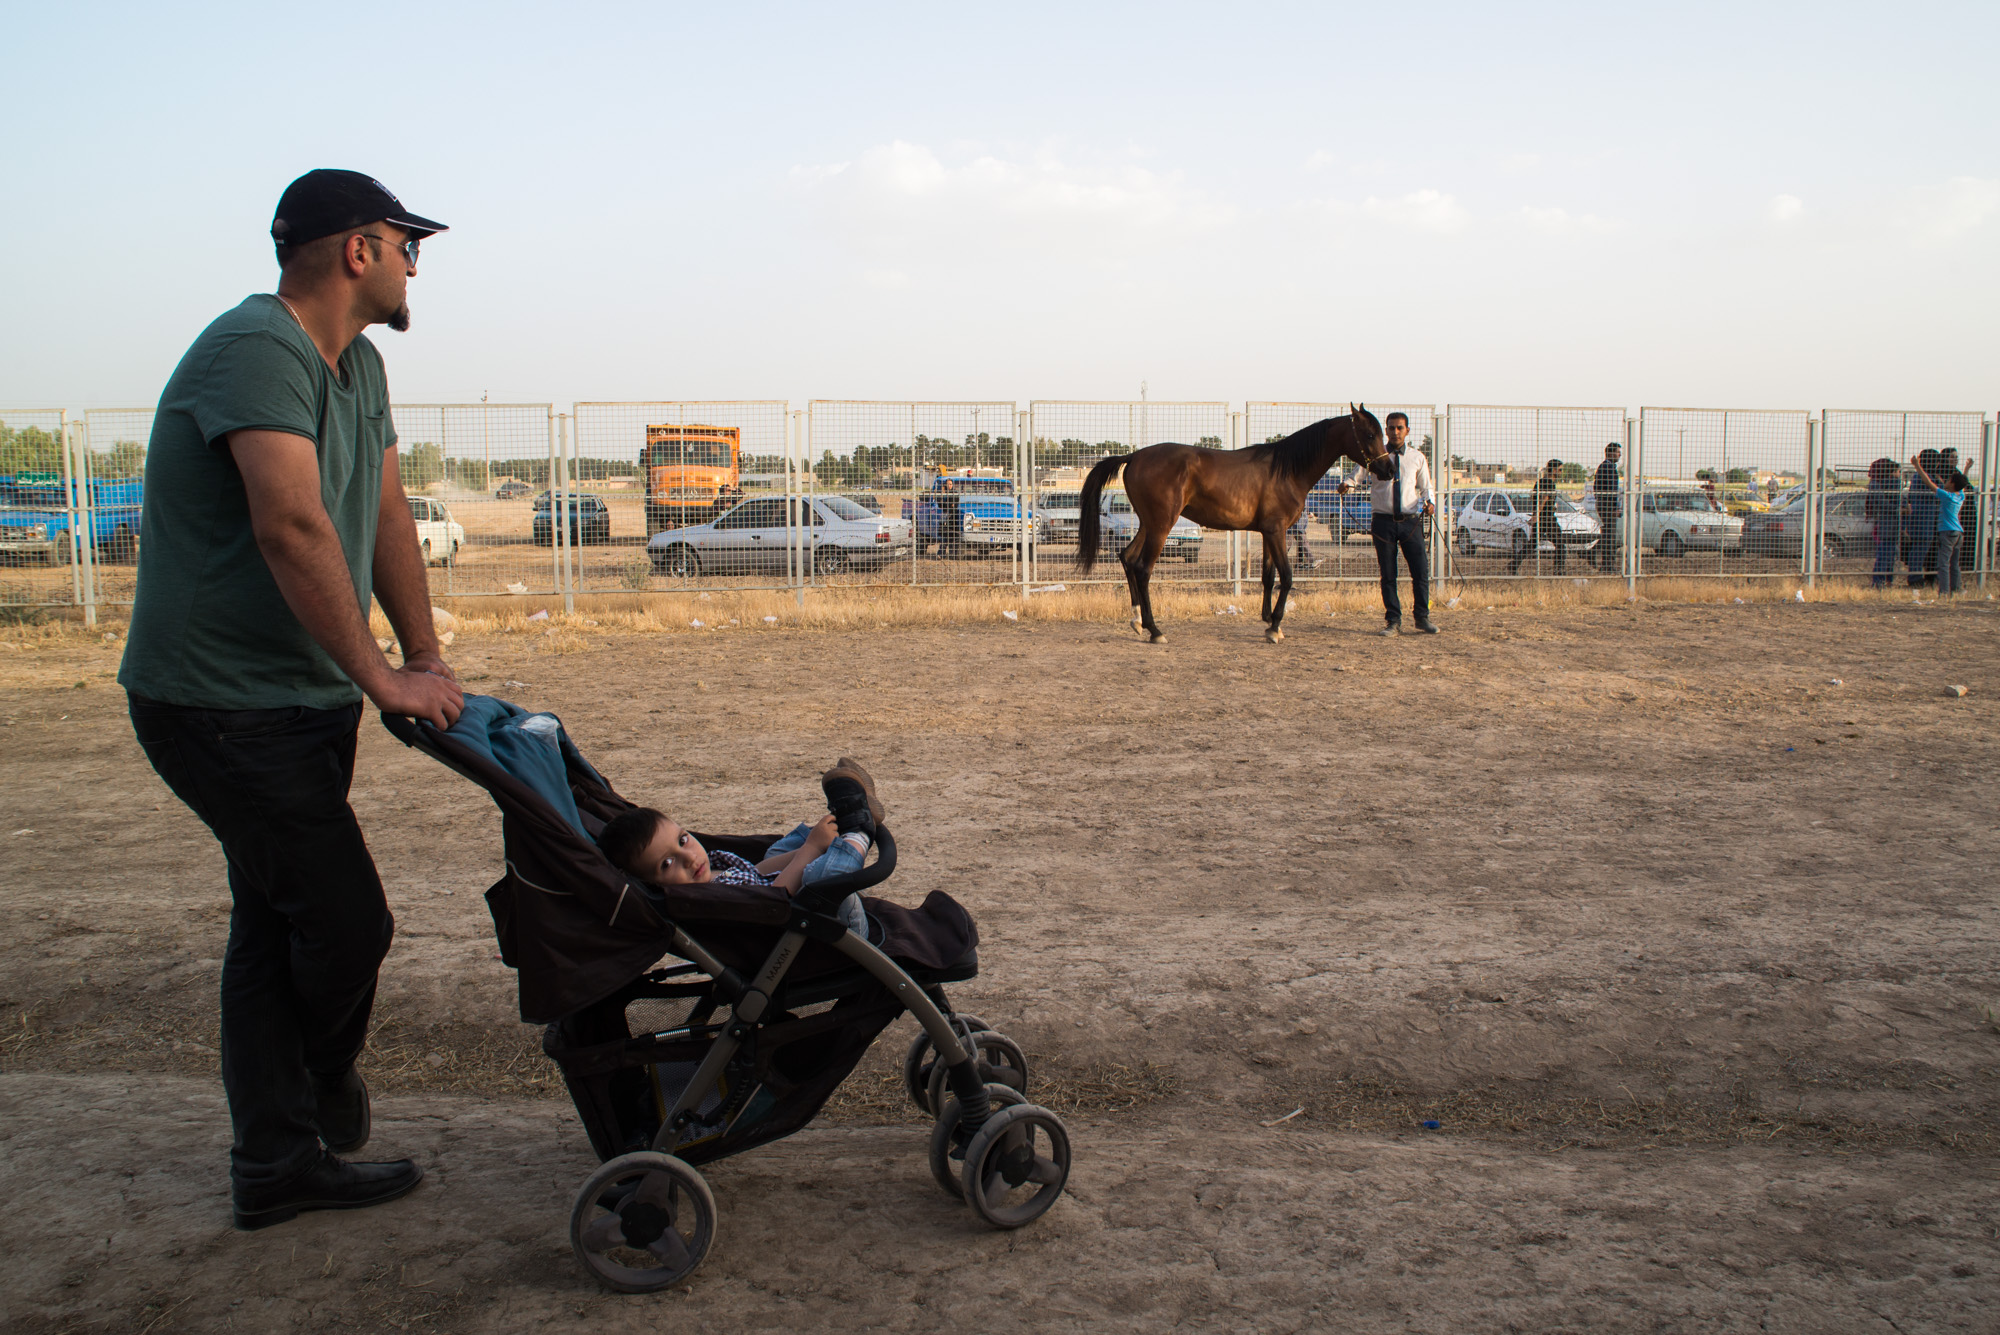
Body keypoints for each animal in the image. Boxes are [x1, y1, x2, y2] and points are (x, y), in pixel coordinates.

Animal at [1080, 409, 1392, 643]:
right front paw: (1275, 627)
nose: (1388, 469)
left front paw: (1269, 620)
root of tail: (1135, 456)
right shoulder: (1277, 531)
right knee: (1143, 569)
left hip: (1148, 523)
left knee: (1128, 558)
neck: (1287, 470)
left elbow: (1269, 577)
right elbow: (1287, 576)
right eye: (1369, 434)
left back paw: (1136, 620)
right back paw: (1155, 630)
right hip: (1160, 526)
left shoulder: (1268, 533)